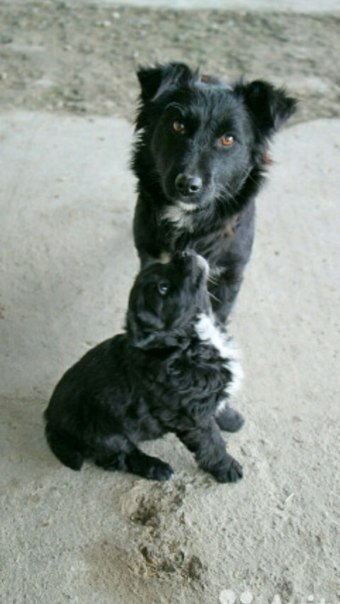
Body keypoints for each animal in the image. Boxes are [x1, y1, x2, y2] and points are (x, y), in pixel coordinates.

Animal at [43, 252, 243, 484]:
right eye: (163, 288)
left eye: (163, 265)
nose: (183, 253)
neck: (189, 345)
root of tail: (50, 420)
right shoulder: (192, 418)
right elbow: (212, 442)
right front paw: (227, 468)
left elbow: (219, 406)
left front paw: (232, 420)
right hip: (105, 434)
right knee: (120, 456)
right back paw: (157, 468)